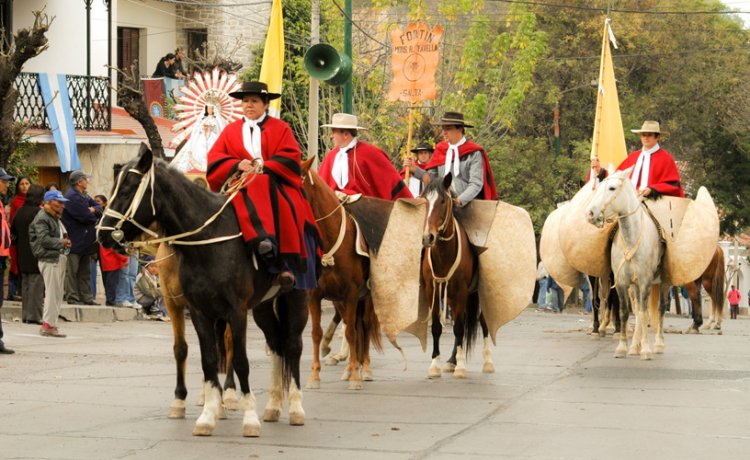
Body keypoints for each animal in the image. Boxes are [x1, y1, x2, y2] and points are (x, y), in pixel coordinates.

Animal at [300, 158, 382, 388]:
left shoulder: (352, 293)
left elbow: (352, 332)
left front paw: (355, 377)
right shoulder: (315, 295)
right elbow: (316, 333)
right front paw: (314, 376)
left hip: (365, 297)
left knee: (363, 326)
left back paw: (365, 368)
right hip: (339, 301)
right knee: (351, 324)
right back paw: (348, 368)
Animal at [420, 174, 490, 380]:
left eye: (443, 201)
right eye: (425, 200)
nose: (428, 237)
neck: (444, 253)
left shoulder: (461, 291)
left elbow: (459, 327)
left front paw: (461, 368)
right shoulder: (433, 289)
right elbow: (437, 327)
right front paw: (435, 364)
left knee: (482, 323)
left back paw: (486, 362)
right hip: (451, 297)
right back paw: (452, 360)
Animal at [588, 169, 668, 360]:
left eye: (612, 188)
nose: (591, 213)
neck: (632, 238)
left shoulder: (645, 281)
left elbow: (645, 313)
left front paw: (646, 349)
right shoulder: (622, 283)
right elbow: (625, 311)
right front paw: (623, 347)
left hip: (663, 283)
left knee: (660, 308)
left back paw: (658, 344)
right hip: (634, 286)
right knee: (637, 309)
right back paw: (634, 347)